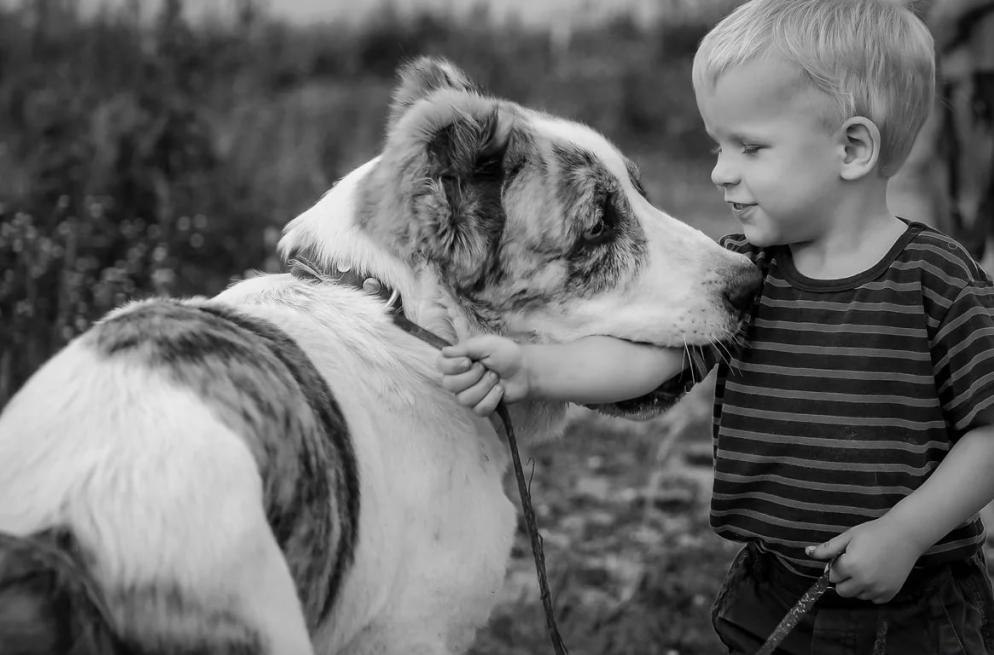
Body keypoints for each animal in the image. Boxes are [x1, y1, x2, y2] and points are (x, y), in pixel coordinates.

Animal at [0, 57, 756, 655]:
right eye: (599, 225)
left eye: (641, 194)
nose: (751, 286)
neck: (407, 324)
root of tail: (59, 527)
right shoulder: (414, 634)